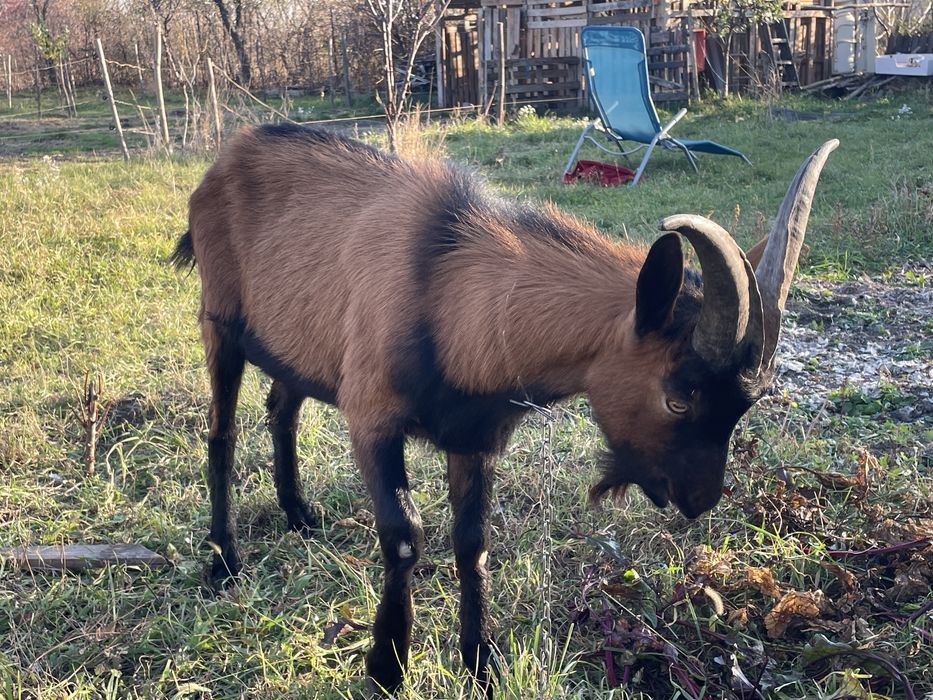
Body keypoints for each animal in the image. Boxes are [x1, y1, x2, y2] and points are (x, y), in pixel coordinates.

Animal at [172, 124, 837, 695]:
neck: (445, 291)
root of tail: (224, 161)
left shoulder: (477, 439)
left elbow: (474, 545)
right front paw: (387, 668)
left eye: (743, 406)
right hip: (220, 323)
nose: (699, 500)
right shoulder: (372, 417)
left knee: (281, 407)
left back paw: (298, 513)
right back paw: (224, 560)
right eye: (678, 398)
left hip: (297, 347)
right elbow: (405, 537)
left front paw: (481, 666)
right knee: (222, 433)